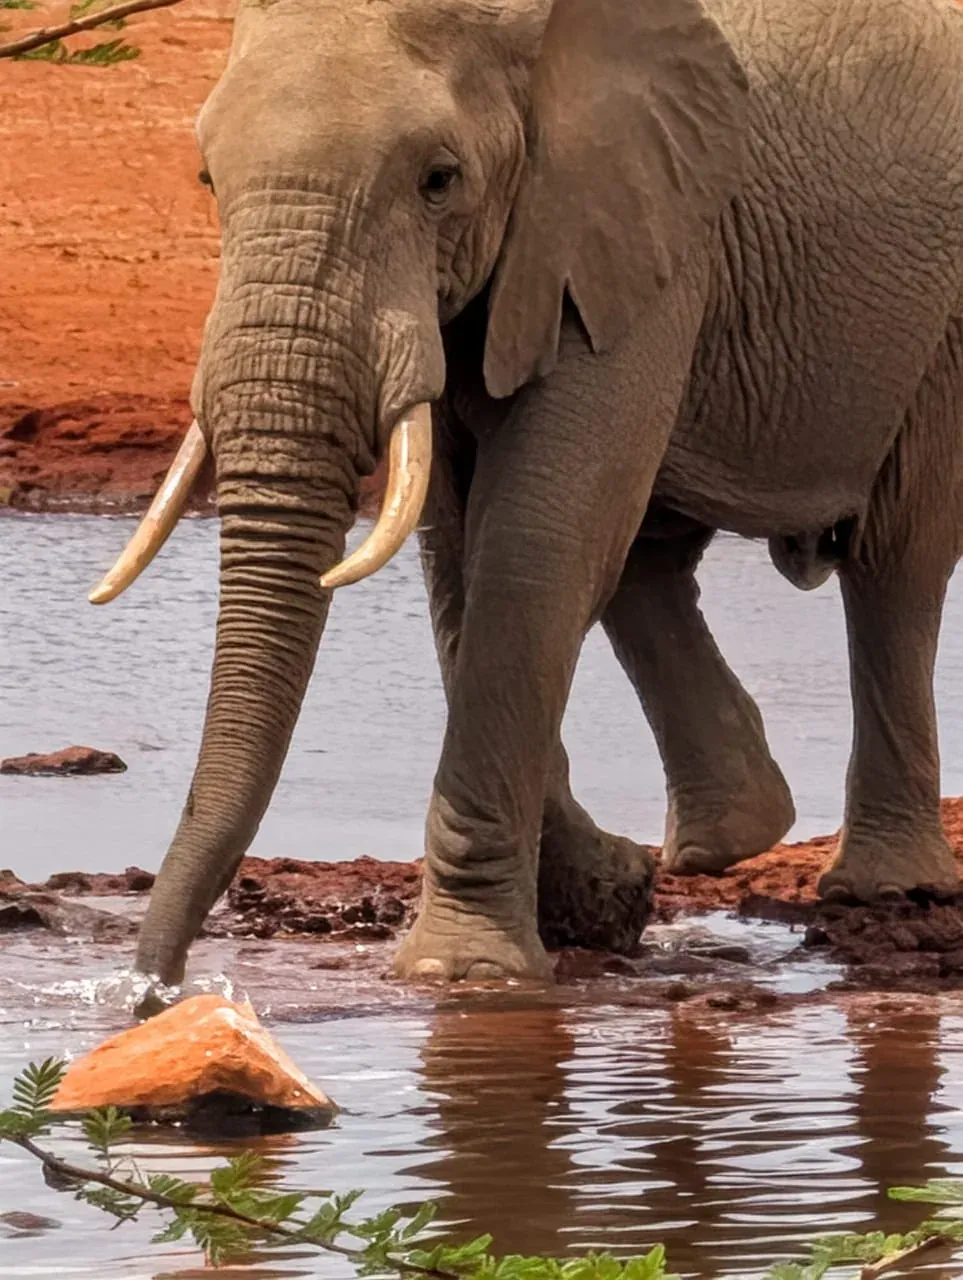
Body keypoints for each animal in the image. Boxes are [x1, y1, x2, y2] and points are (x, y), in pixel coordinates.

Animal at [90, 0, 963, 990]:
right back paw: (723, 841)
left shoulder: (629, 224)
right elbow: (459, 552)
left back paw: (886, 888)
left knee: (893, 563)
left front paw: (464, 974)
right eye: (207, 177)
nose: (151, 993)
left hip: (941, 322)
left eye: (439, 180)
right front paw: (596, 900)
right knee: (644, 556)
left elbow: (532, 543)